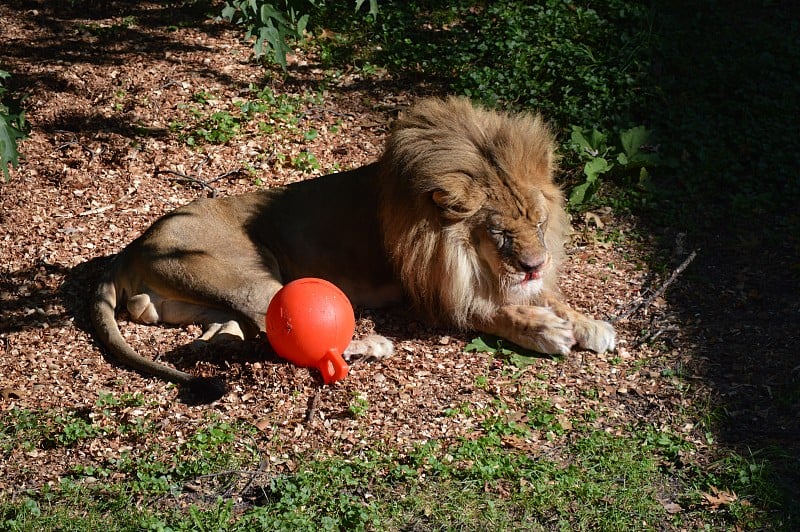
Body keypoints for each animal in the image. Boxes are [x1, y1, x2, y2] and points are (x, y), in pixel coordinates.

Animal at [95, 96, 620, 400]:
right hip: (248, 270)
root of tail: (131, 248)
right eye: (500, 234)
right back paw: (370, 342)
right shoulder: (432, 293)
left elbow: (550, 298)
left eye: (538, 221)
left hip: (198, 301)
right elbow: (493, 311)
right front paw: (545, 331)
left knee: (221, 333)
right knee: (281, 326)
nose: (535, 265)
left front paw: (587, 323)